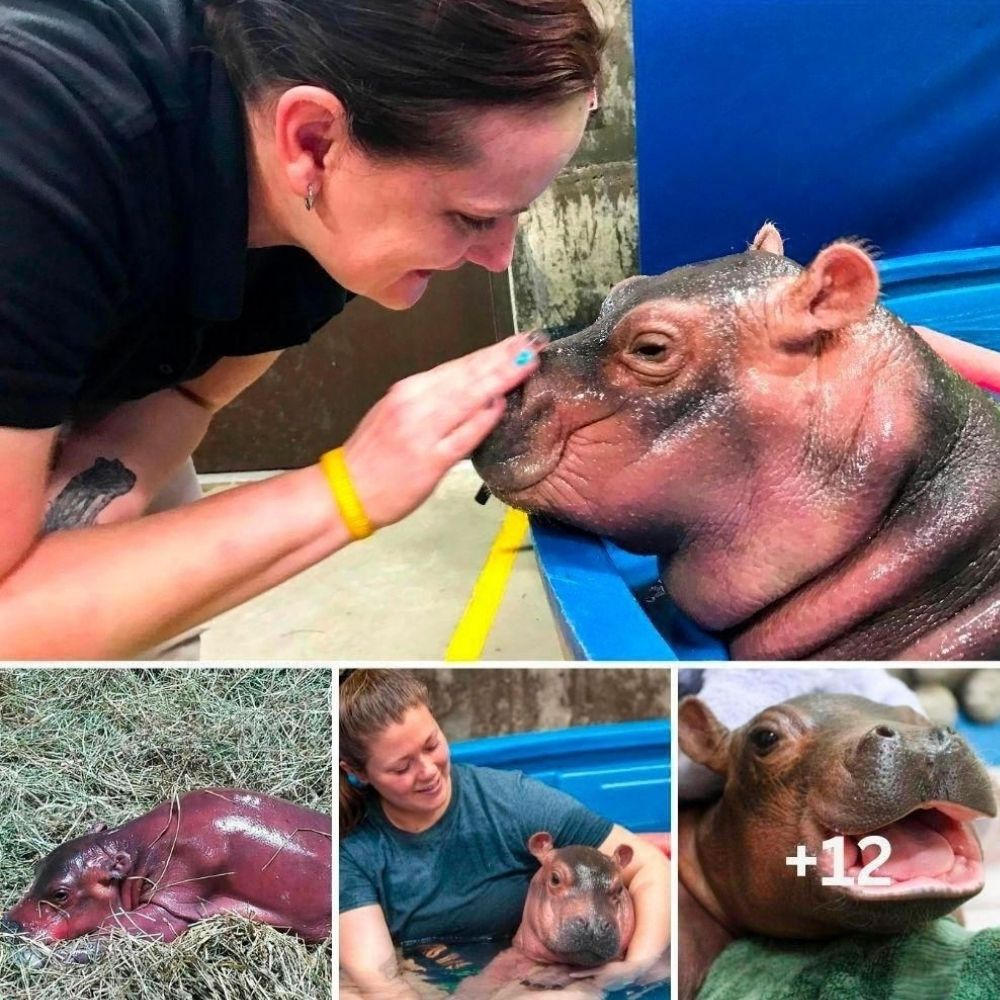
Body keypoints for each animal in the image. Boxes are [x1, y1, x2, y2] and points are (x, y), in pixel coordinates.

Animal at [0, 784, 334, 956]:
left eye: (61, 894)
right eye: (38, 866)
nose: (8, 926)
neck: (131, 849)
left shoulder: (176, 893)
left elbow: (122, 927)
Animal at [454, 832, 632, 996]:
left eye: (619, 888)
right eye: (555, 878)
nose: (594, 926)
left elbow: (570, 965)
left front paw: (543, 981)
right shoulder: (517, 951)